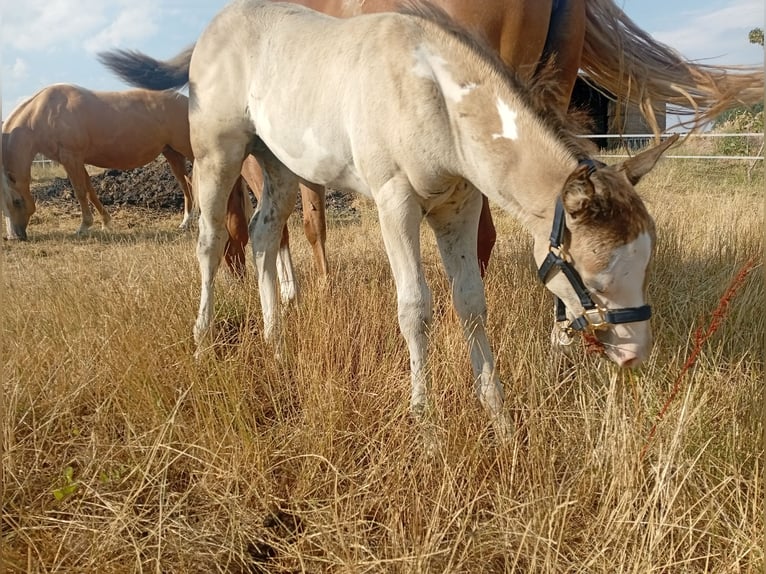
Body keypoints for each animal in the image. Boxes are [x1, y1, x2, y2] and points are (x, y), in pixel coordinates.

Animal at [1, 84, 195, 240]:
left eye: (17, 201)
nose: (13, 237)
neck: (44, 113)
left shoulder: (71, 158)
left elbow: (80, 192)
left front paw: (83, 227)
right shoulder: (77, 161)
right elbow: (91, 191)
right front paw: (106, 222)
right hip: (172, 153)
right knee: (186, 184)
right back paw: (186, 222)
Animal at [100, 0, 679, 438]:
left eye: (646, 264)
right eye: (596, 277)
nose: (635, 355)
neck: (432, 94)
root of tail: (212, 28)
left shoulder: (459, 208)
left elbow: (471, 305)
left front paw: (499, 418)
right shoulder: (394, 201)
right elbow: (415, 307)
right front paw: (426, 425)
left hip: (278, 163)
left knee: (264, 235)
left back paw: (276, 347)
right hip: (218, 154)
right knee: (212, 239)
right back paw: (202, 345)